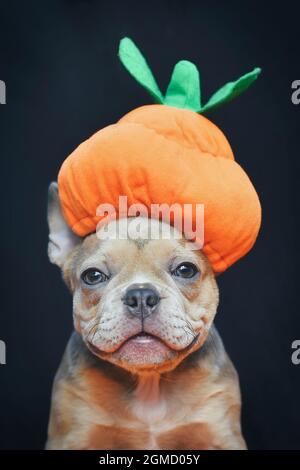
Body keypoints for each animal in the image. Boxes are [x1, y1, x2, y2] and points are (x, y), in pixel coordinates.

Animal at [45, 182, 246, 450]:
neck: (149, 379)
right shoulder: (72, 434)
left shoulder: (221, 433)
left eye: (186, 270)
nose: (141, 295)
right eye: (93, 276)